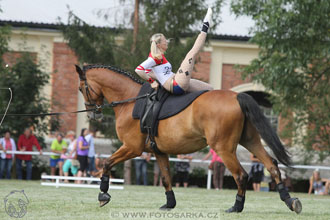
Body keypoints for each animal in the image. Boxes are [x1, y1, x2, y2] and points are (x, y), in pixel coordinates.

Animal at [75, 64, 302, 214]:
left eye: (81, 88)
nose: (93, 114)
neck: (130, 101)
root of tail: (236, 96)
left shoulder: (131, 148)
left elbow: (106, 163)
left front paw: (103, 195)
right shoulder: (159, 152)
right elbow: (166, 177)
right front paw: (169, 204)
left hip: (224, 149)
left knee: (241, 175)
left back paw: (236, 207)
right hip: (251, 141)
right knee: (272, 165)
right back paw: (290, 200)